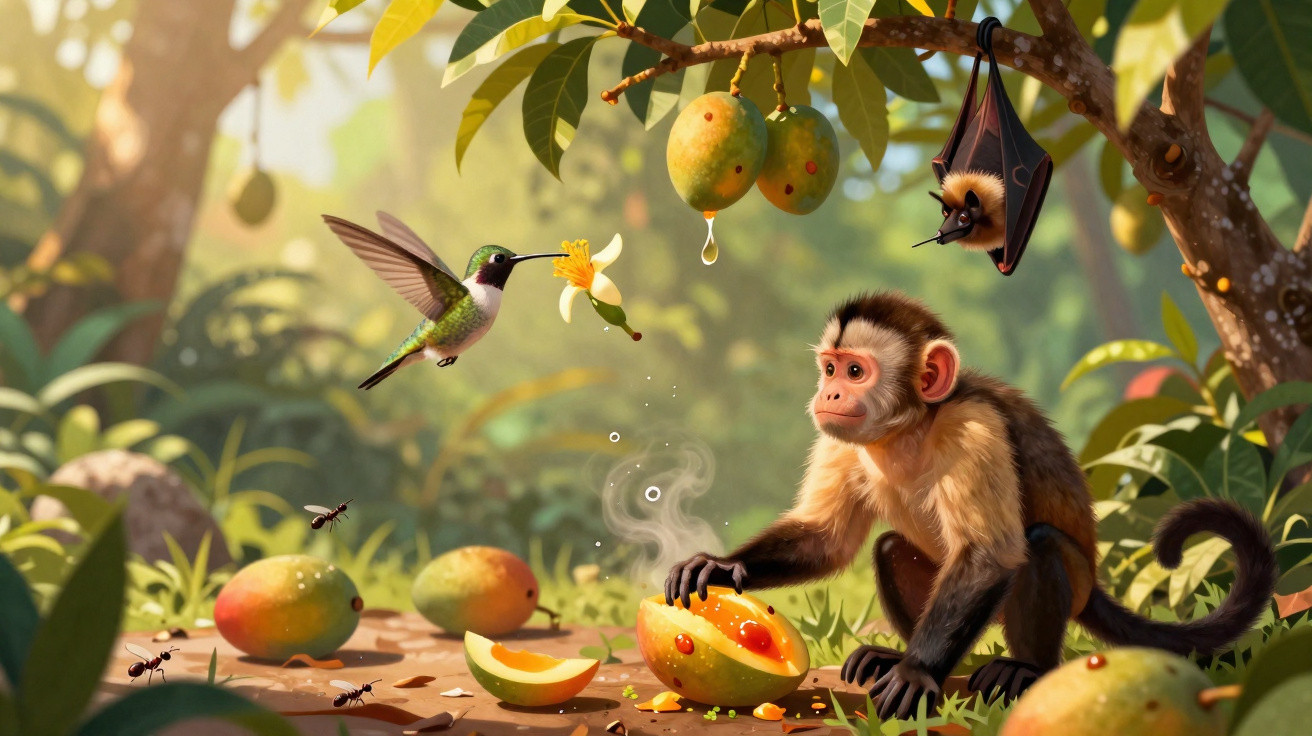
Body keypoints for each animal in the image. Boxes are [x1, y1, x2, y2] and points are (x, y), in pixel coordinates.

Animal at [665, 291, 1277, 721]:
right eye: (831, 369)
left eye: (856, 371)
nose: (829, 394)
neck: (909, 427)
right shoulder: (838, 439)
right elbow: (826, 540)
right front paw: (720, 566)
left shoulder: (972, 427)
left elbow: (988, 554)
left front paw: (916, 673)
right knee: (889, 547)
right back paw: (898, 654)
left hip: (1073, 584)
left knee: (1039, 548)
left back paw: (1024, 668)